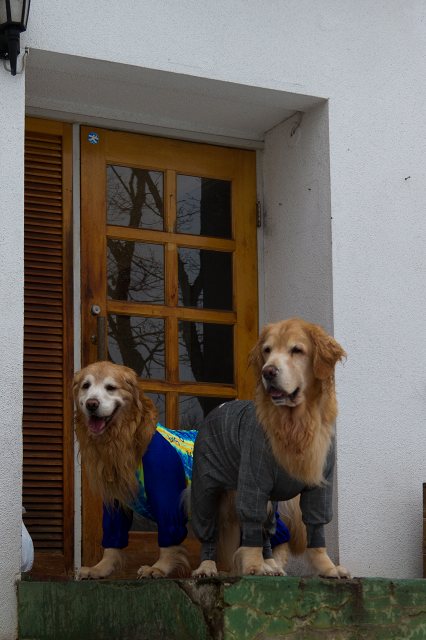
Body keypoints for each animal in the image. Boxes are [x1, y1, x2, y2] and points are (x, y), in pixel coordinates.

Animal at [73, 360, 196, 580]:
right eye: (86, 386)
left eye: (110, 387)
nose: (91, 404)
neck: (126, 438)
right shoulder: (114, 499)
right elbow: (113, 538)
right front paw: (100, 568)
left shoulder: (167, 496)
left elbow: (169, 537)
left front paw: (159, 567)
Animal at [191, 318, 352, 576]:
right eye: (267, 350)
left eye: (296, 350)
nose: (268, 371)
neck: (296, 424)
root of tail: (219, 408)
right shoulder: (253, 483)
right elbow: (251, 525)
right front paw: (253, 565)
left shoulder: (320, 484)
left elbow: (316, 529)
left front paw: (328, 568)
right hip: (207, 490)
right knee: (211, 533)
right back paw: (208, 567)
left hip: (271, 502)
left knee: (267, 533)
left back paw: (270, 565)